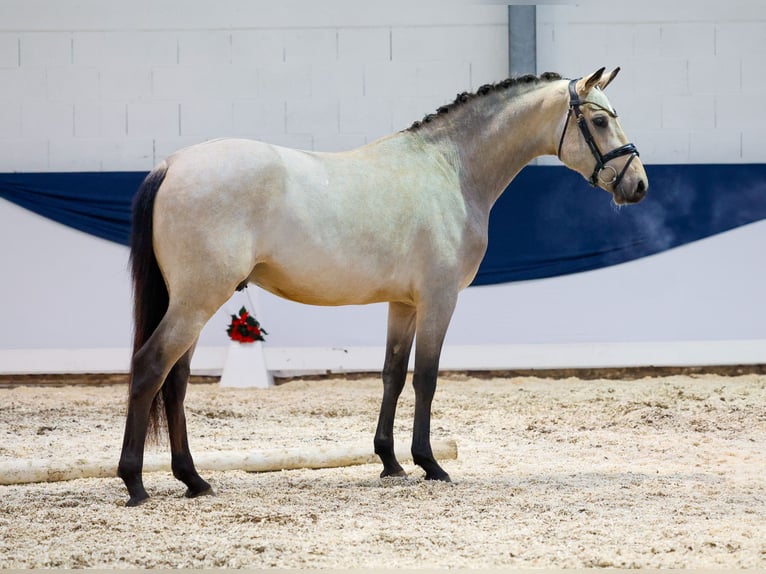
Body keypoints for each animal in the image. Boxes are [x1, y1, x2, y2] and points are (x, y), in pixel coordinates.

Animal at [118, 68, 648, 508]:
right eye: (600, 121)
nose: (638, 185)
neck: (450, 170)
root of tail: (172, 164)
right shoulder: (439, 300)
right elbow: (426, 378)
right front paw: (430, 464)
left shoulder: (403, 303)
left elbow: (392, 375)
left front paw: (390, 463)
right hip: (198, 299)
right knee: (150, 368)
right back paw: (136, 483)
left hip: (192, 301)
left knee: (176, 381)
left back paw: (194, 480)